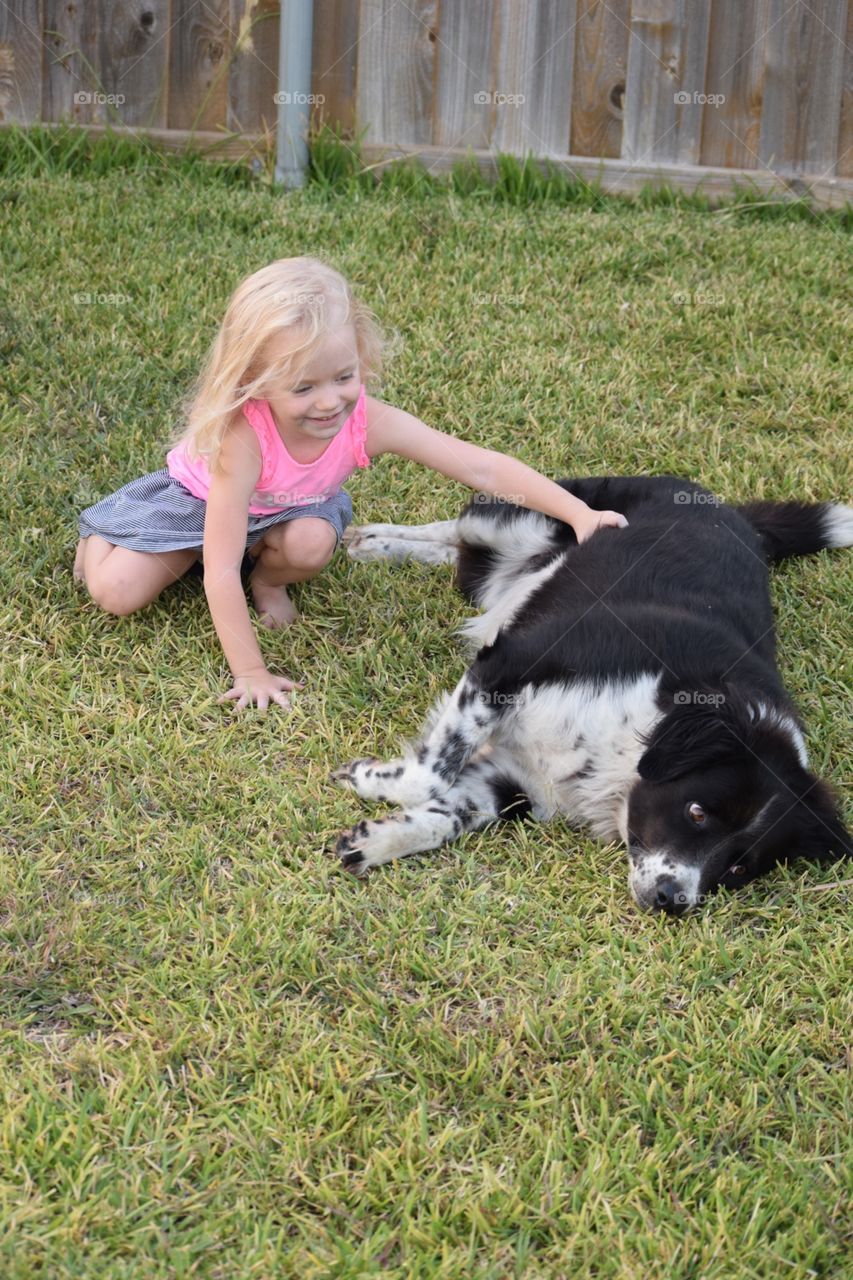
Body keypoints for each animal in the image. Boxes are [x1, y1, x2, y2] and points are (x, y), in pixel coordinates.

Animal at [333, 476, 850, 916]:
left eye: (740, 867)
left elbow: (448, 812)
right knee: (459, 527)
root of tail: (729, 511)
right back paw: (371, 540)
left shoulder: (515, 780)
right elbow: (429, 775)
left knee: (458, 554)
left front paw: (376, 839)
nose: (673, 901)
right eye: (697, 812)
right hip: (523, 517)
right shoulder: (510, 662)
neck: (635, 735)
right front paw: (369, 780)